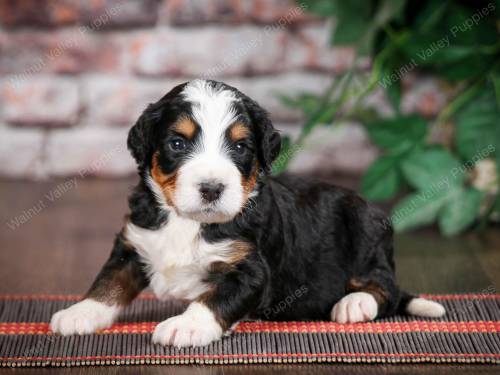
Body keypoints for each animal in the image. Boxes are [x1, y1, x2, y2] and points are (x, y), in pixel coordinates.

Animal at [50, 81, 446, 348]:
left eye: (240, 147)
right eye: (177, 143)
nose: (212, 188)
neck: (187, 222)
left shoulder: (252, 270)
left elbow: (215, 299)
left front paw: (186, 326)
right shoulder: (134, 244)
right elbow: (108, 282)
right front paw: (80, 313)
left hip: (365, 228)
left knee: (385, 286)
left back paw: (353, 304)